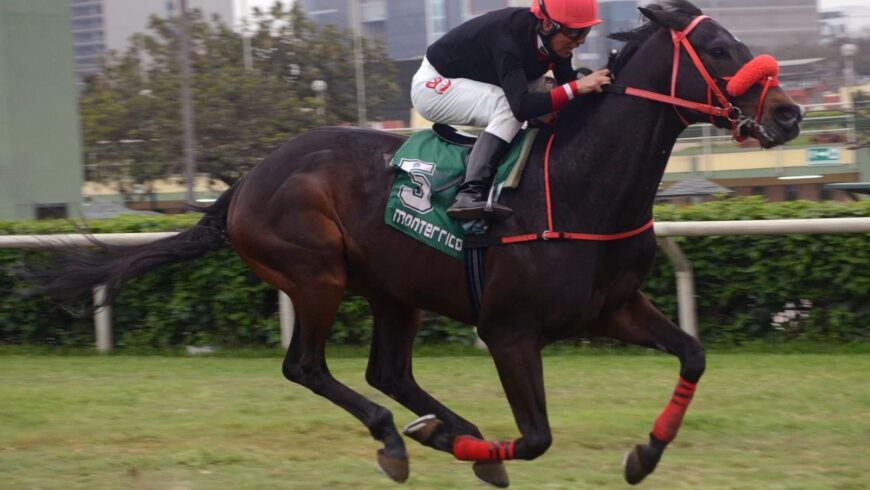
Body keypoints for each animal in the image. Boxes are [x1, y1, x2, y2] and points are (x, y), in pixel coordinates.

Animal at [27, 0, 804, 486]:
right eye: (718, 49)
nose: (790, 113)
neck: (579, 182)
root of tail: (245, 182)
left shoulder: (612, 308)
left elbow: (694, 354)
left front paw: (645, 453)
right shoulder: (508, 331)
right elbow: (537, 437)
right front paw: (473, 445)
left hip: (394, 291)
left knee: (389, 372)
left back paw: (443, 432)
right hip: (316, 275)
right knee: (309, 368)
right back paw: (404, 437)